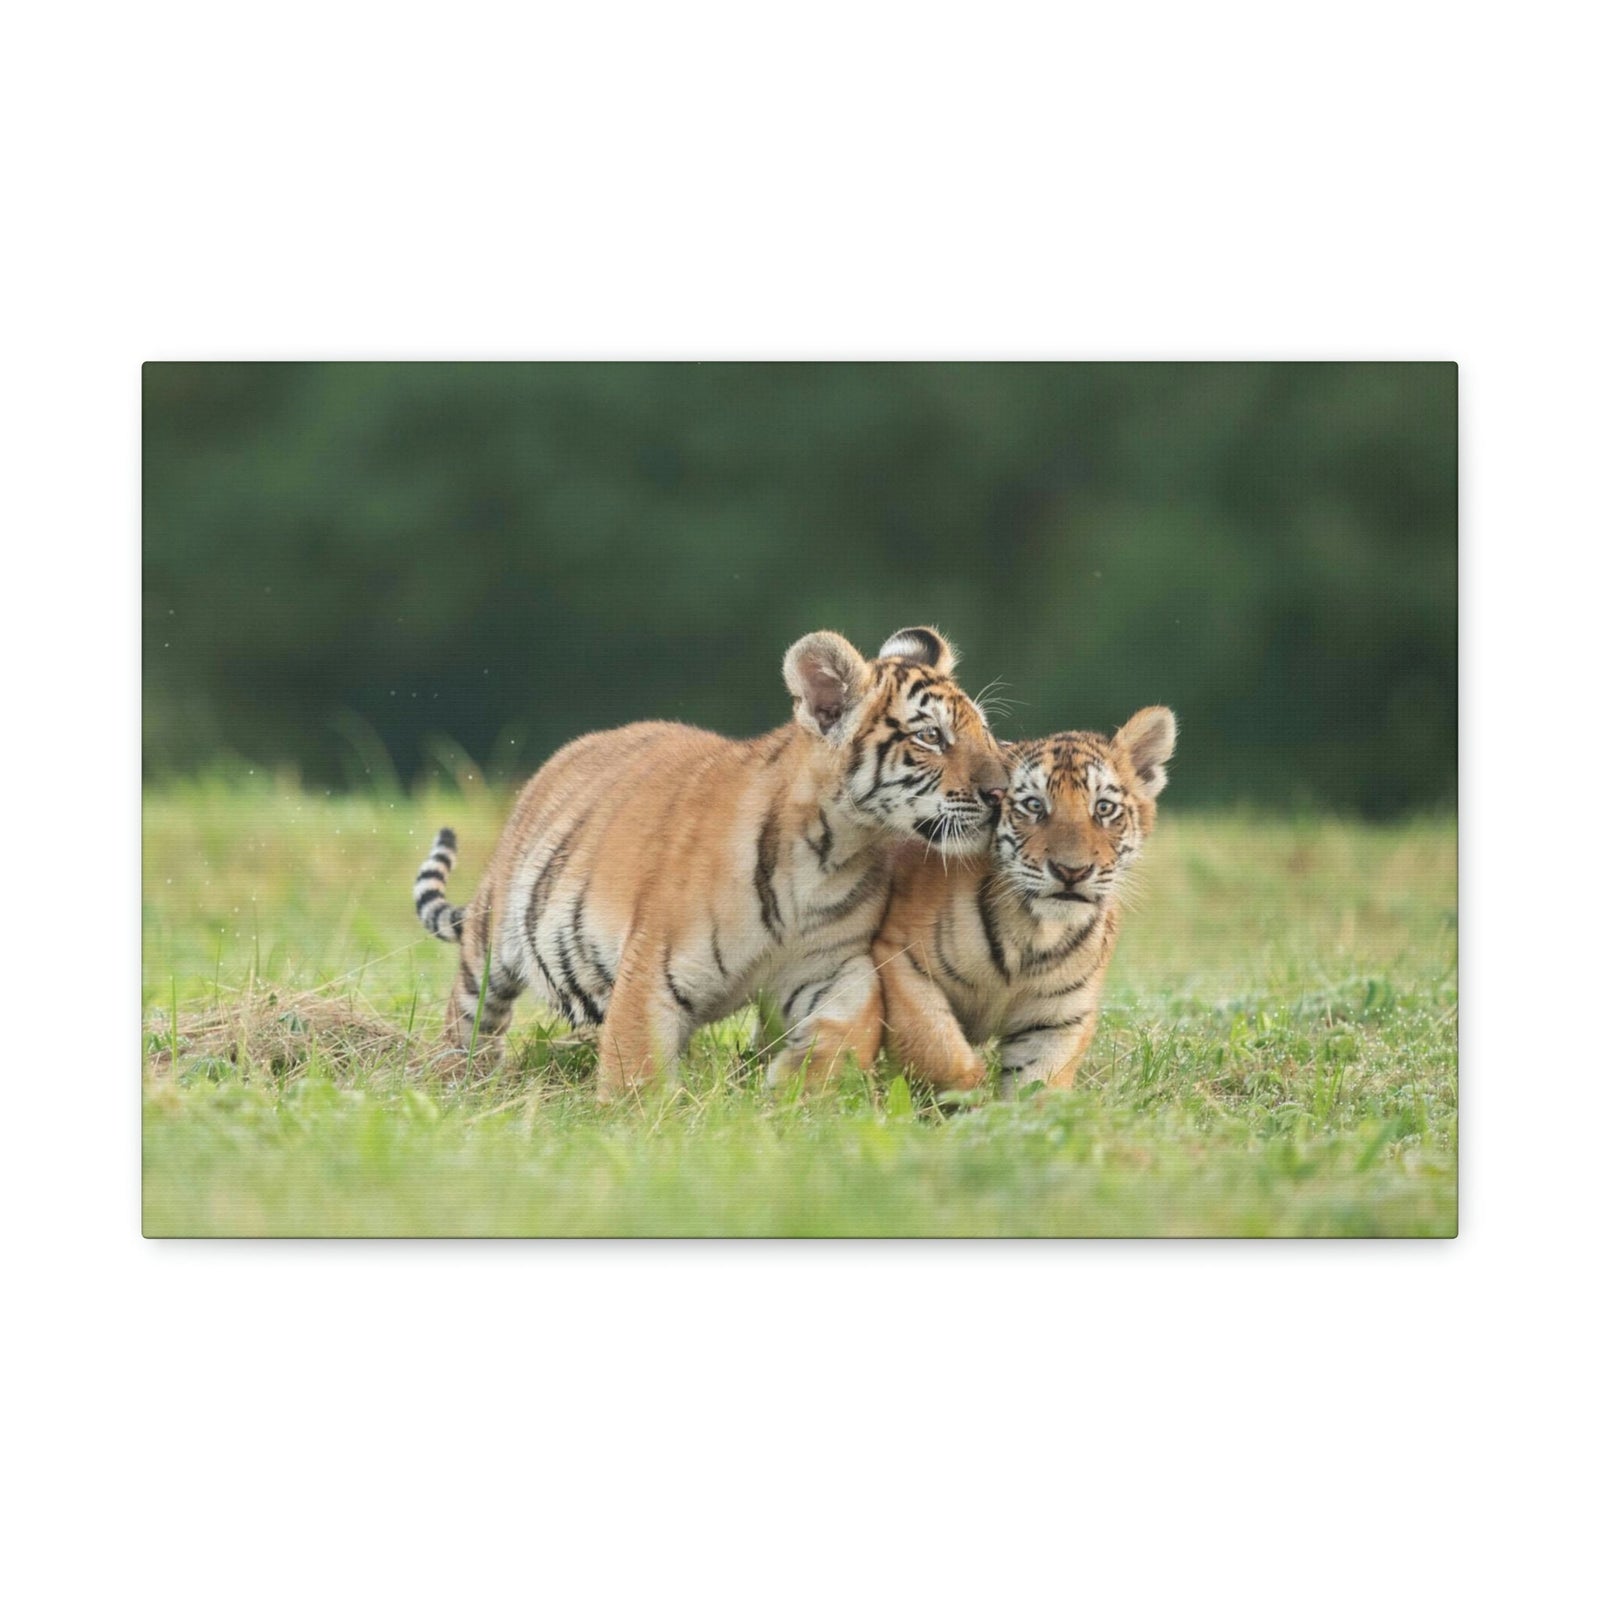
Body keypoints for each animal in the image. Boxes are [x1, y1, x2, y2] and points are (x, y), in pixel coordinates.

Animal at [412, 627, 1007, 1100]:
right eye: (930, 737)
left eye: (985, 731)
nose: (1002, 792)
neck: (832, 853)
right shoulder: (652, 972)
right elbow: (638, 1070)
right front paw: (639, 1125)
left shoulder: (832, 964)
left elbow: (854, 1022)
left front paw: (803, 1086)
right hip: (490, 950)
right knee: (469, 1020)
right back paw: (455, 1081)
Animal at [873, 706, 1177, 1096]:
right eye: (1034, 806)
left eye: (1104, 808)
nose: (1071, 871)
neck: (1034, 931)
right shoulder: (902, 962)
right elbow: (938, 1050)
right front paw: (970, 1096)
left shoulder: (1059, 1018)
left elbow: (1038, 1088)